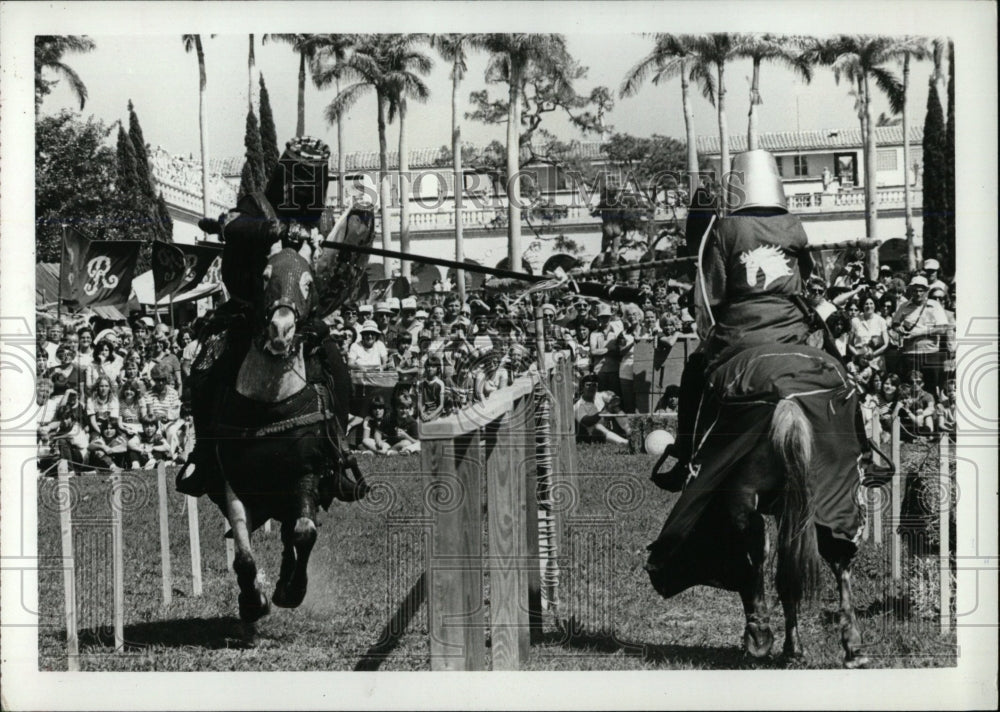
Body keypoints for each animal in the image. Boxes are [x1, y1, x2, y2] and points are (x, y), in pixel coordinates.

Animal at [648, 344, 868, 668]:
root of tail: (788, 403)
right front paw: (794, 646)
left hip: (744, 500)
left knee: (754, 553)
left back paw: (759, 633)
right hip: (831, 499)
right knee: (835, 559)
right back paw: (850, 647)